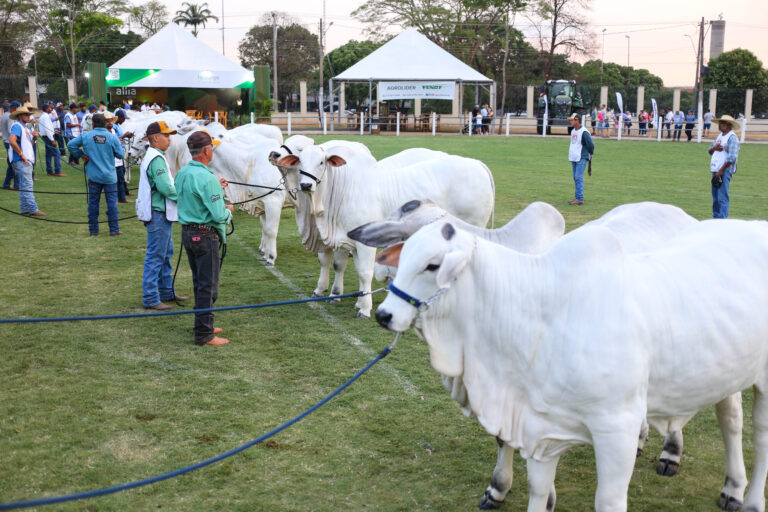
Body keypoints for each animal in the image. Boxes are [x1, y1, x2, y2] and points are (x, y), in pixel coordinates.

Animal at [280, 144, 496, 318]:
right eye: (299, 162)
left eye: (322, 162)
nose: (306, 184)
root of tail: (476, 163)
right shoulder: (349, 240)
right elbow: (345, 266)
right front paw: (353, 299)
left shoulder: (364, 244)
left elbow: (365, 272)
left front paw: (364, 309)